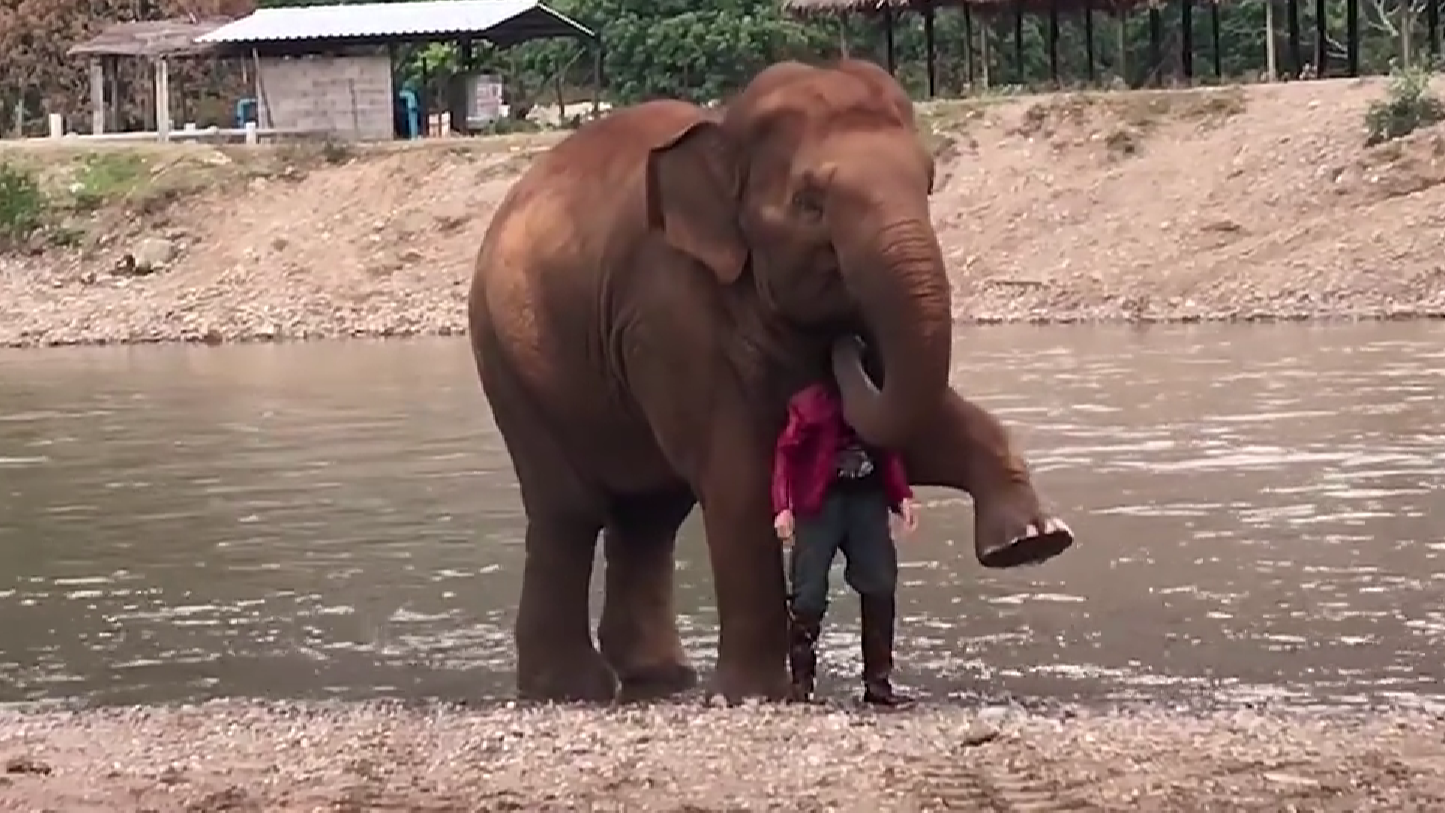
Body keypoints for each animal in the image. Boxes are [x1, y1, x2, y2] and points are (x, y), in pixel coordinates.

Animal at [468, 58, 1075, 704]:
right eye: (810, 203)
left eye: (930, 182)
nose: (846, 348)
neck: (727, 128)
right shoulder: (667, 314)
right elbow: (738, 483)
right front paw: (756, 693)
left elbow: (916, 425)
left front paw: (1034, 541)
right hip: (509, 363)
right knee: (569, 512)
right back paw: (571, 688)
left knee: (648, 517)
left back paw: (659, 679)